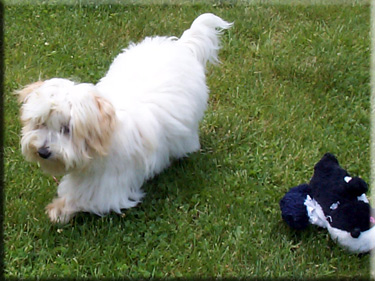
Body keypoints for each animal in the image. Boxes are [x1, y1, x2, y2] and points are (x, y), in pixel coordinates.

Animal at [19, 13, 234, 223]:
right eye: (41, 123)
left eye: (66, 129)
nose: (43, 151)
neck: (103, 139)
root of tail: (181, 45)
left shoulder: (109, 184)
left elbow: (86, 198)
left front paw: (60, 209)